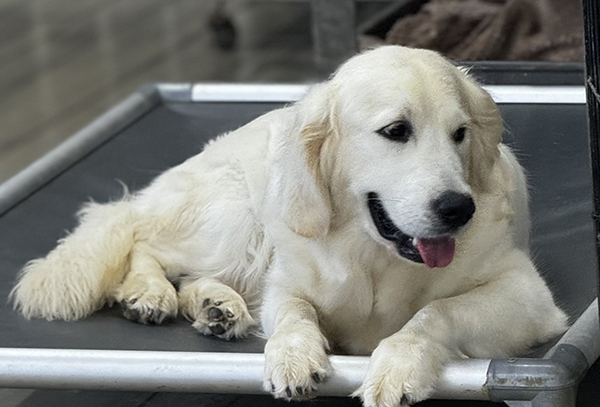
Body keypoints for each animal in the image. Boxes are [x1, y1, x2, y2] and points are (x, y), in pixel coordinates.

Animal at [11, 46, 568, 406]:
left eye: (460, 133)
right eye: (396, 130)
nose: (458, 209)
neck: (373, 256)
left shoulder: (527, 296)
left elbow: (435, 312)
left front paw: (398, 365)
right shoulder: (288, 281)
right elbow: (294, 315)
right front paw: (292, 358)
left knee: (191, 276)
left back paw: (217, 308)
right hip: (237, 217)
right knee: (146, 242)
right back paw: (150, 294)